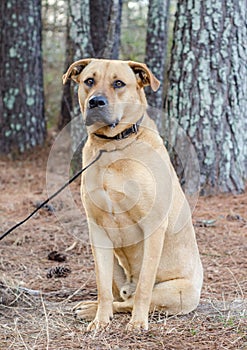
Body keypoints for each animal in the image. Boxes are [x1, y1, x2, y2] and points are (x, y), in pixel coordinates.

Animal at [62, 58, 203, 332]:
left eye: (119, 83)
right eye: (89, 81)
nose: (96, 102)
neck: (113, 146)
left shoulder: (153, 226)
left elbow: (145, 286)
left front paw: (138, 322)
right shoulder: (97, 229)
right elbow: (102, 286)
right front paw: (100, 320)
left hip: (176, 291)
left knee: (132, 299)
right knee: (118, 296)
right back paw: (91, 308)